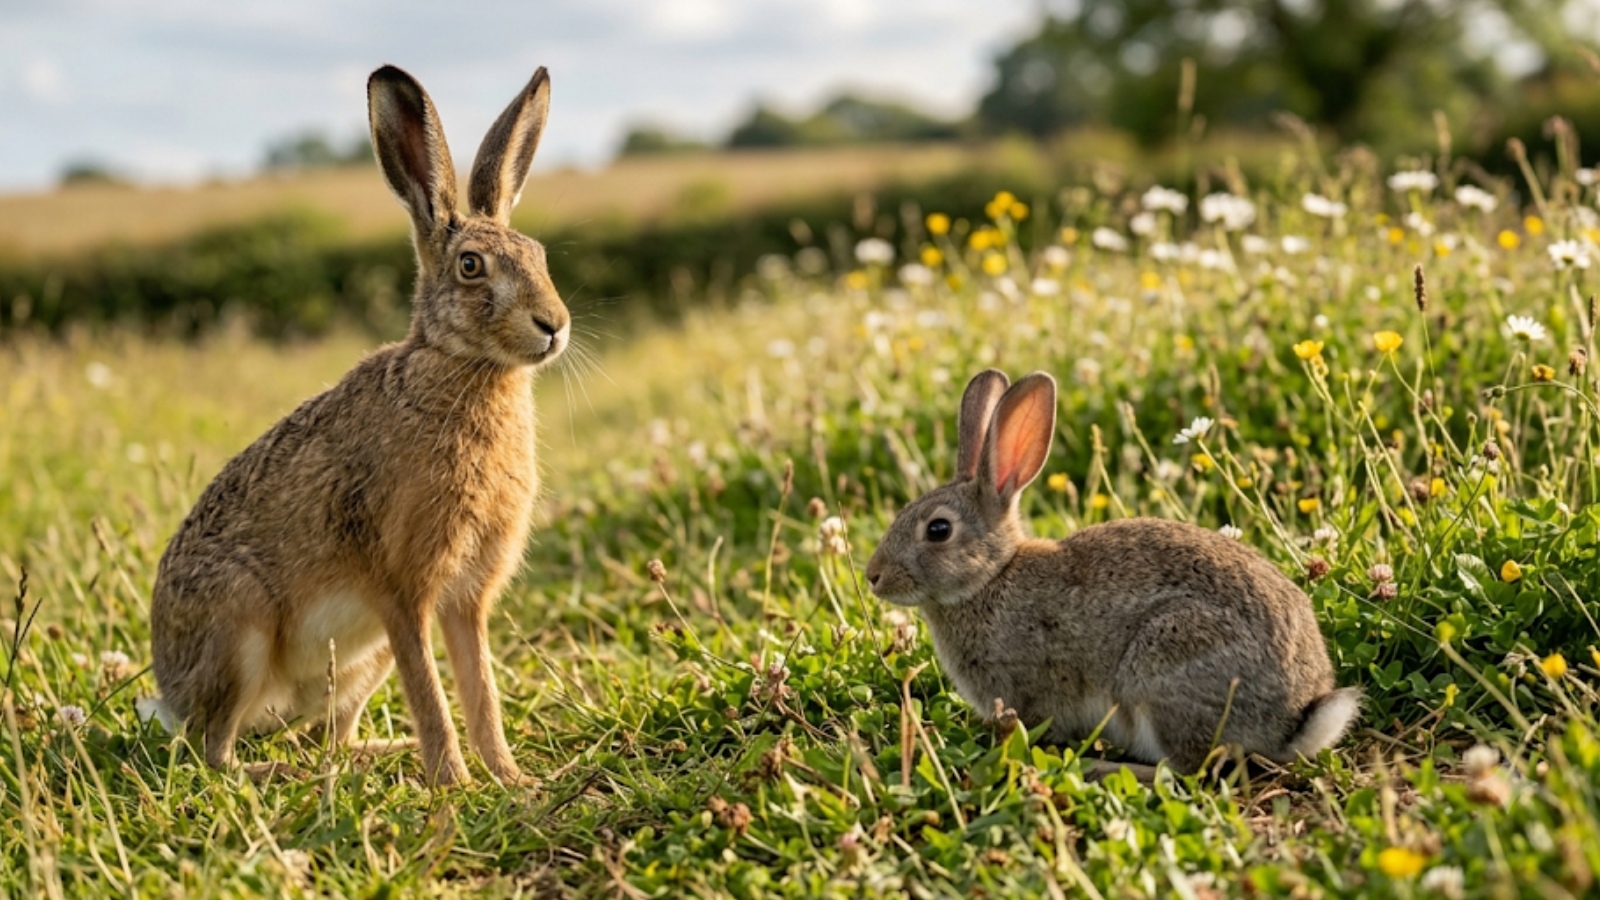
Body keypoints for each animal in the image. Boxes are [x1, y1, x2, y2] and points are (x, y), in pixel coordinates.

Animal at [148, 64, 568, 786]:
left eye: (539, 255)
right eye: (471, 266)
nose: (554, 325)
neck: (459, 366)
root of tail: (169, 692)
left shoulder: (465, 599)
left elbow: (480, 691)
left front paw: (511, 778)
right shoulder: (402, 589)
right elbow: (432, 693)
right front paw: (456, 783)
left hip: (359, 663)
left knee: (330, 738)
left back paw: (374, 757)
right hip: (239, 627)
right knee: (214, 755)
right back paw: (285, 773)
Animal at [864, 369, 1360, 777]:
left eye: (938, 529)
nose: (873, 576)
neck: (991, 577)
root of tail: (1292, 720)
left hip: (1163, 668)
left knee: (1185, 770)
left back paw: (1100, 767)